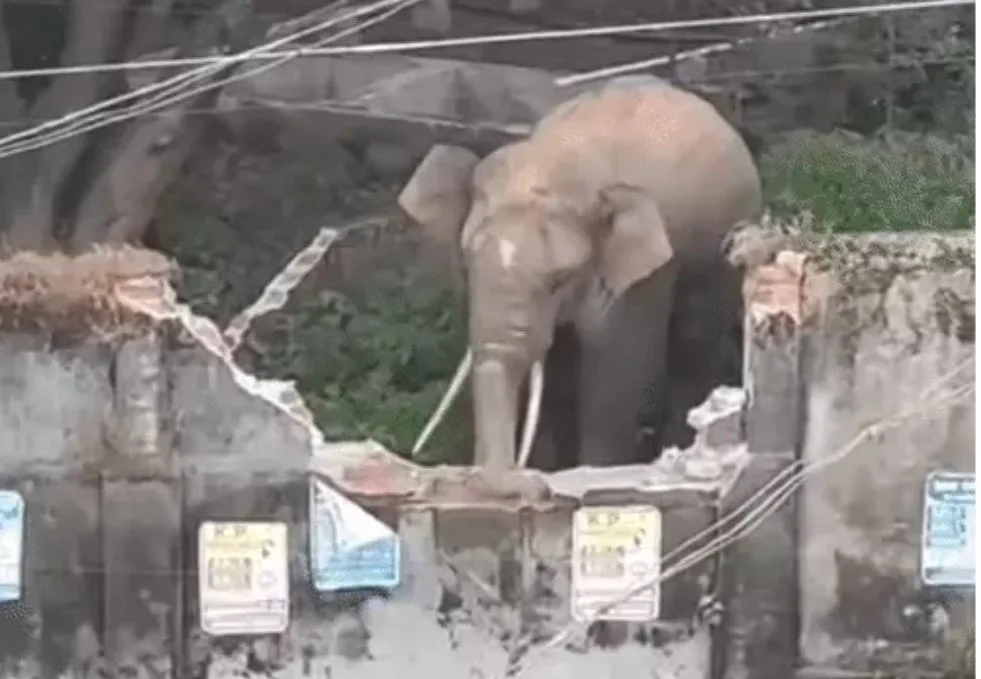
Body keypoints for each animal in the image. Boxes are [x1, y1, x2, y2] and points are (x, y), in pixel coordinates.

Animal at [398, 75, 762, 472]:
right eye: (467, 263)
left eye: (560, 280)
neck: (552, 161)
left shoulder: (640, 280)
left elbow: (616, 373)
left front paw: (589, 469)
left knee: (692, 347)